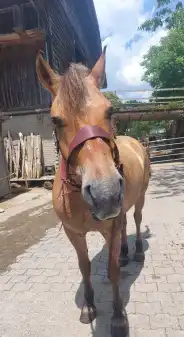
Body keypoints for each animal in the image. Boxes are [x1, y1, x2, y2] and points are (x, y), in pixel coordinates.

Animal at [36, 49, 151, 336]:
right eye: (55, 120)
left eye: (110, 111)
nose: (105, 193)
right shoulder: (74, 233)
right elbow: (85, 267)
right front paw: (89, 306)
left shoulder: (109, 227)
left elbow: (111, 270)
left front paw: (118, 317)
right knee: (124, 224)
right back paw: (125, 253)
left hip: (140, 197)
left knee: (136, 220)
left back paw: (136, 252)